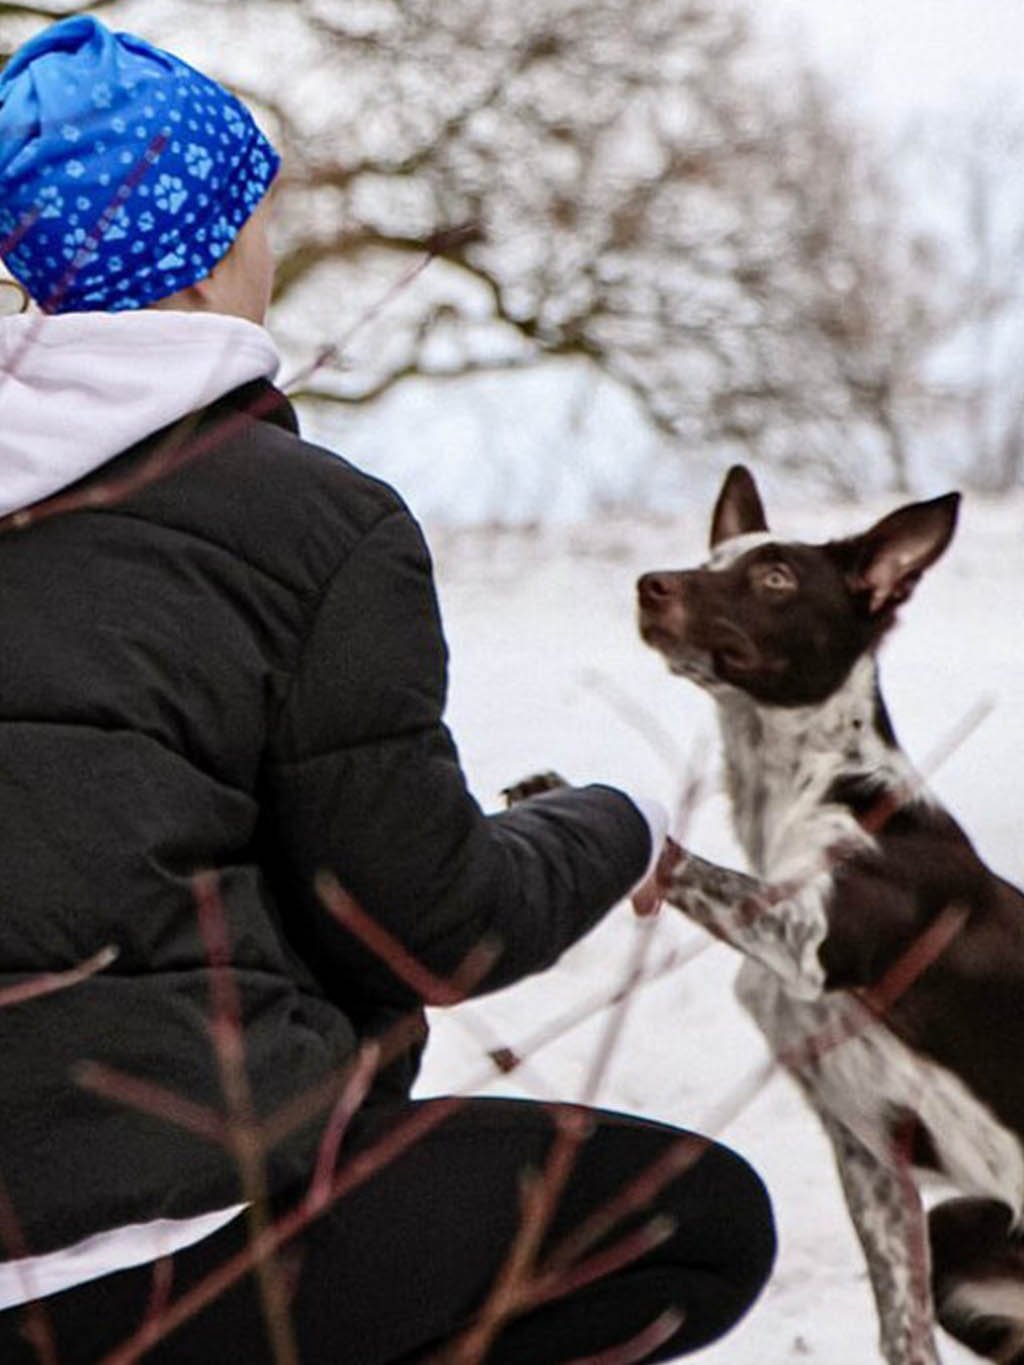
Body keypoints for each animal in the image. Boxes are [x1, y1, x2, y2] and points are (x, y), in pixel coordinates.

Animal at [638, 464, 1024, 1359]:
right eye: (710, 559)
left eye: (774, 578)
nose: (649, 584)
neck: (816, 789)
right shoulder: (873, 1156)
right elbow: (901, 1333)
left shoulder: (805, 935)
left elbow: (688, 862)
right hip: (964, 1235)